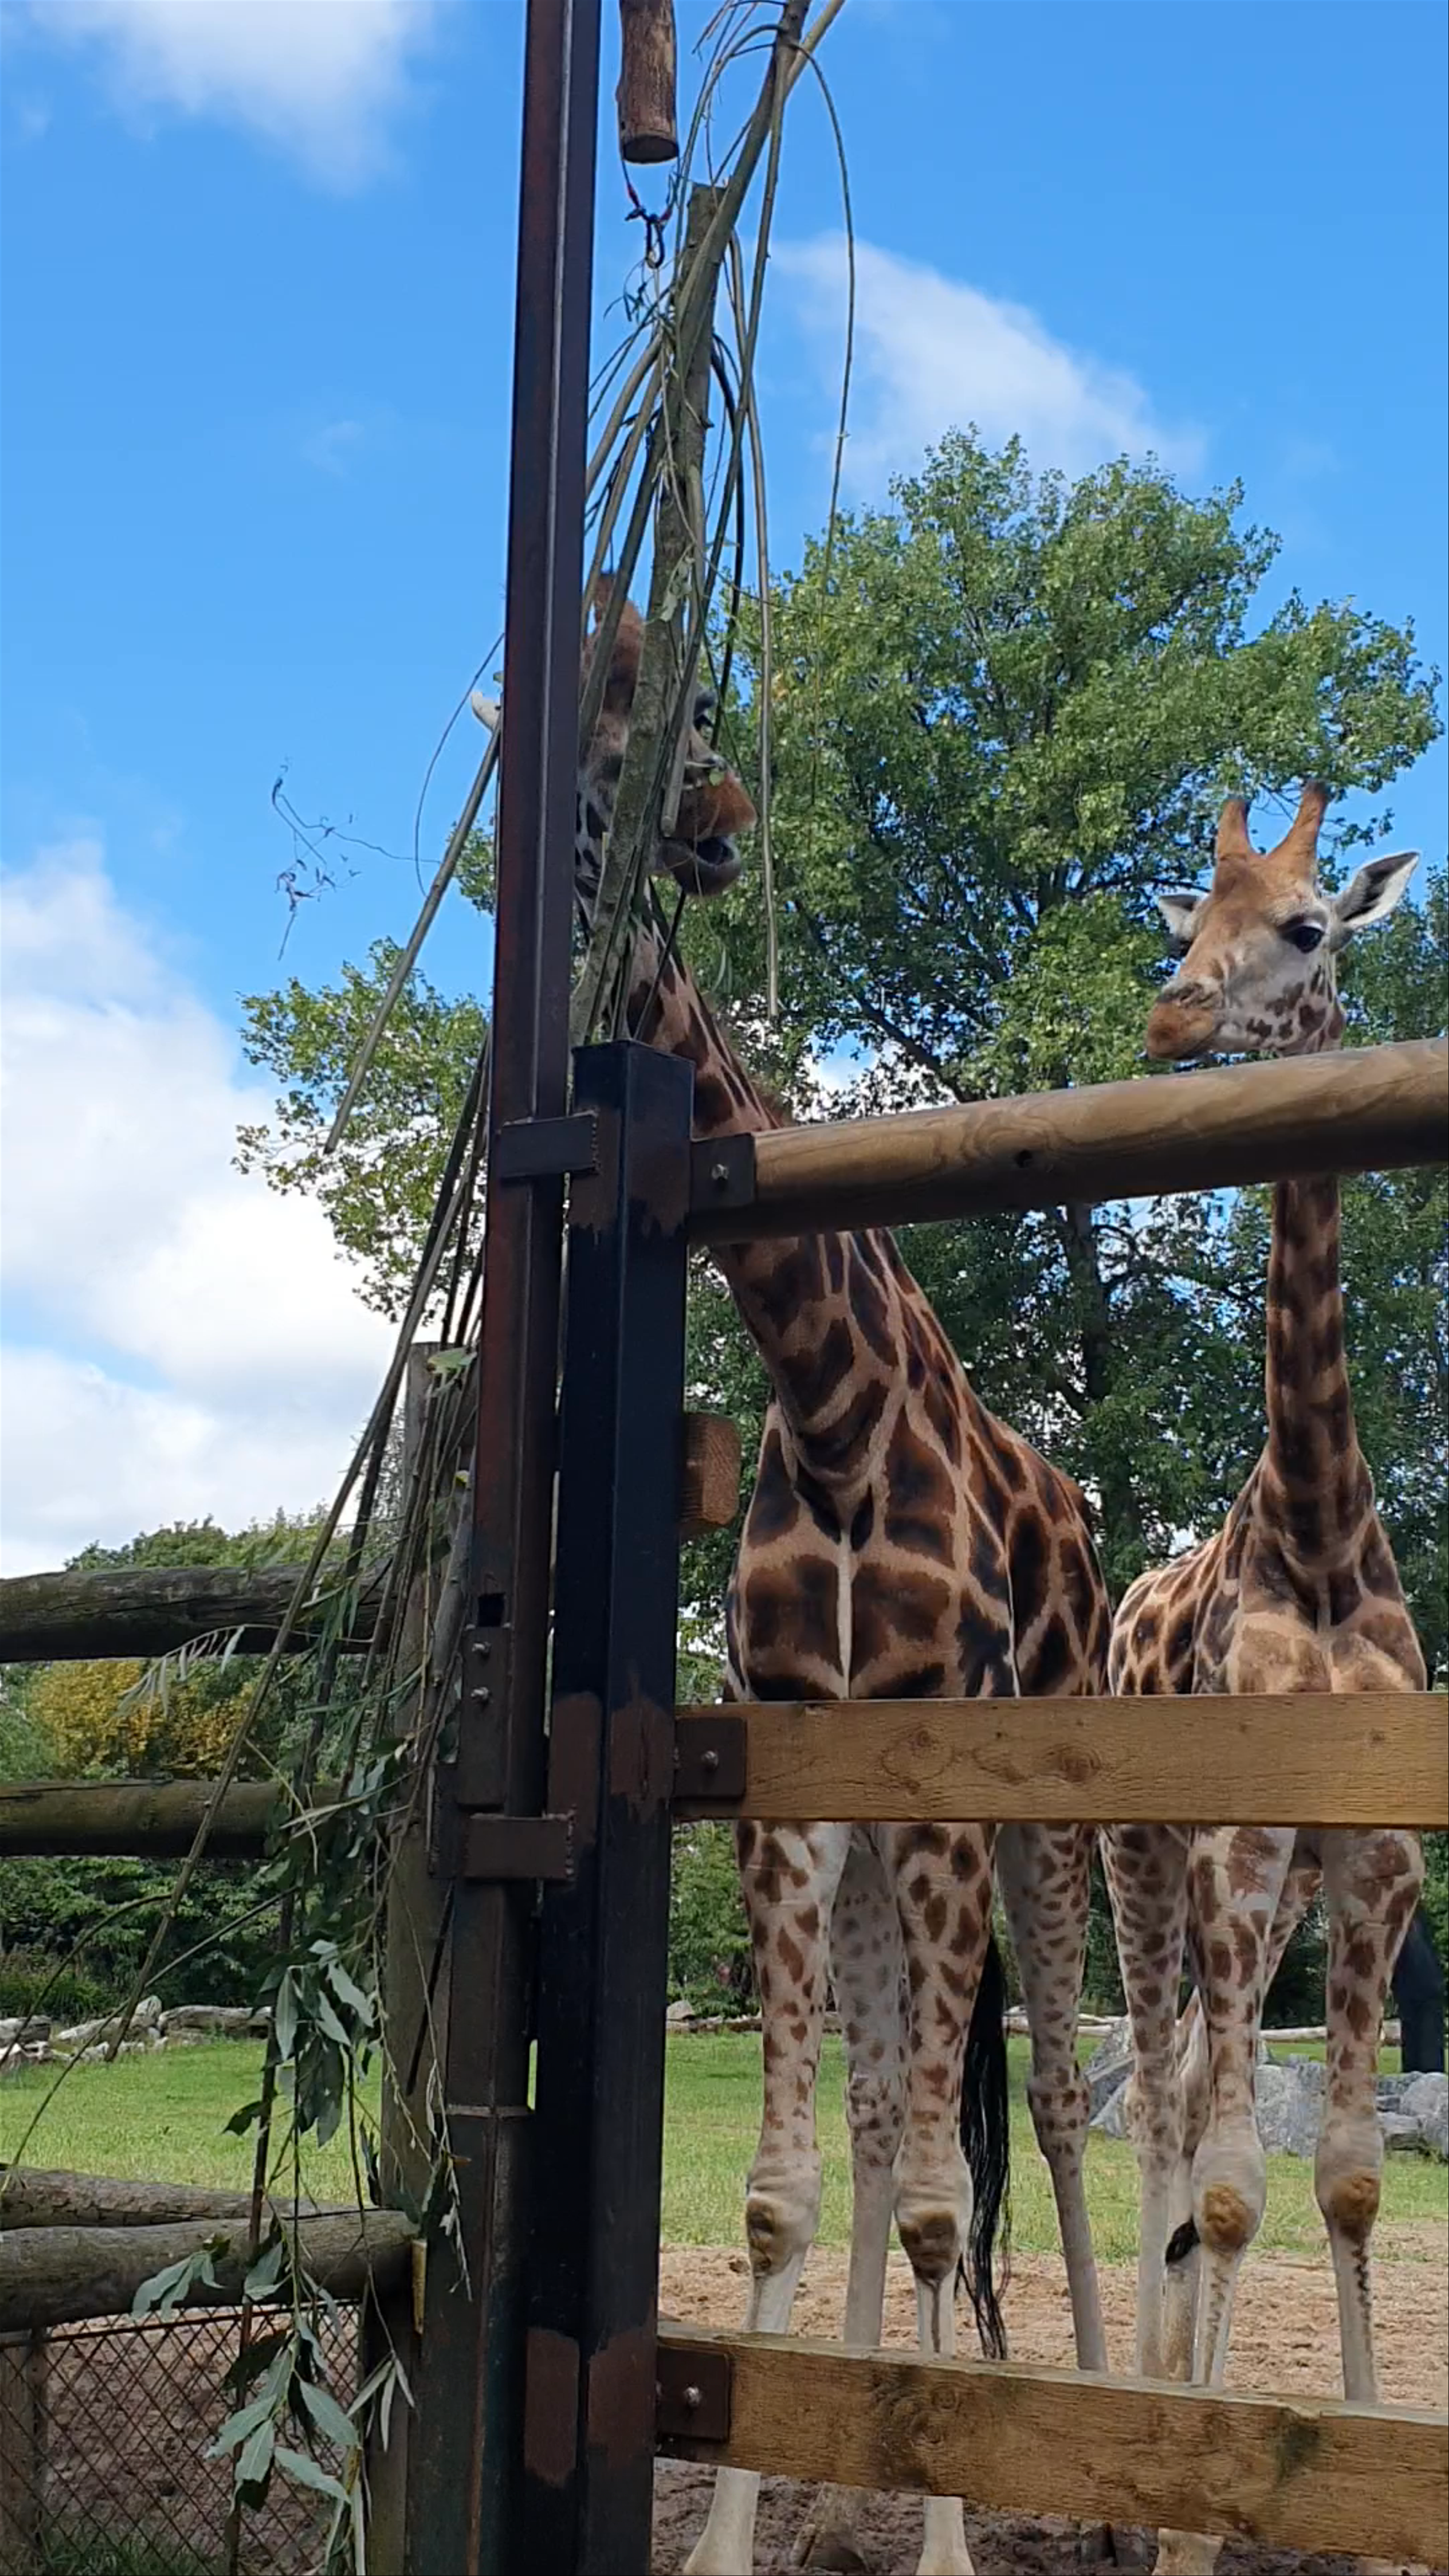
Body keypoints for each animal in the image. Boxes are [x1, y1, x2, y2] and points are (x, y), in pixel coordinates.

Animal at [575, 586, 1114, 2576]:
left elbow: (956, 2197)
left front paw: (953, 2528)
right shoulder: (796, 1787)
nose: (711, 829)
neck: (825, 1402)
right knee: (893, 2119)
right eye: (578, 722)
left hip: (1050, 1828)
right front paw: (750, 2531)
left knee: (1049, 2107)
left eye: (682, 700)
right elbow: (787, 2194)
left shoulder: (950, 1786)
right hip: (892, 1856)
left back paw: (1108, 2437)